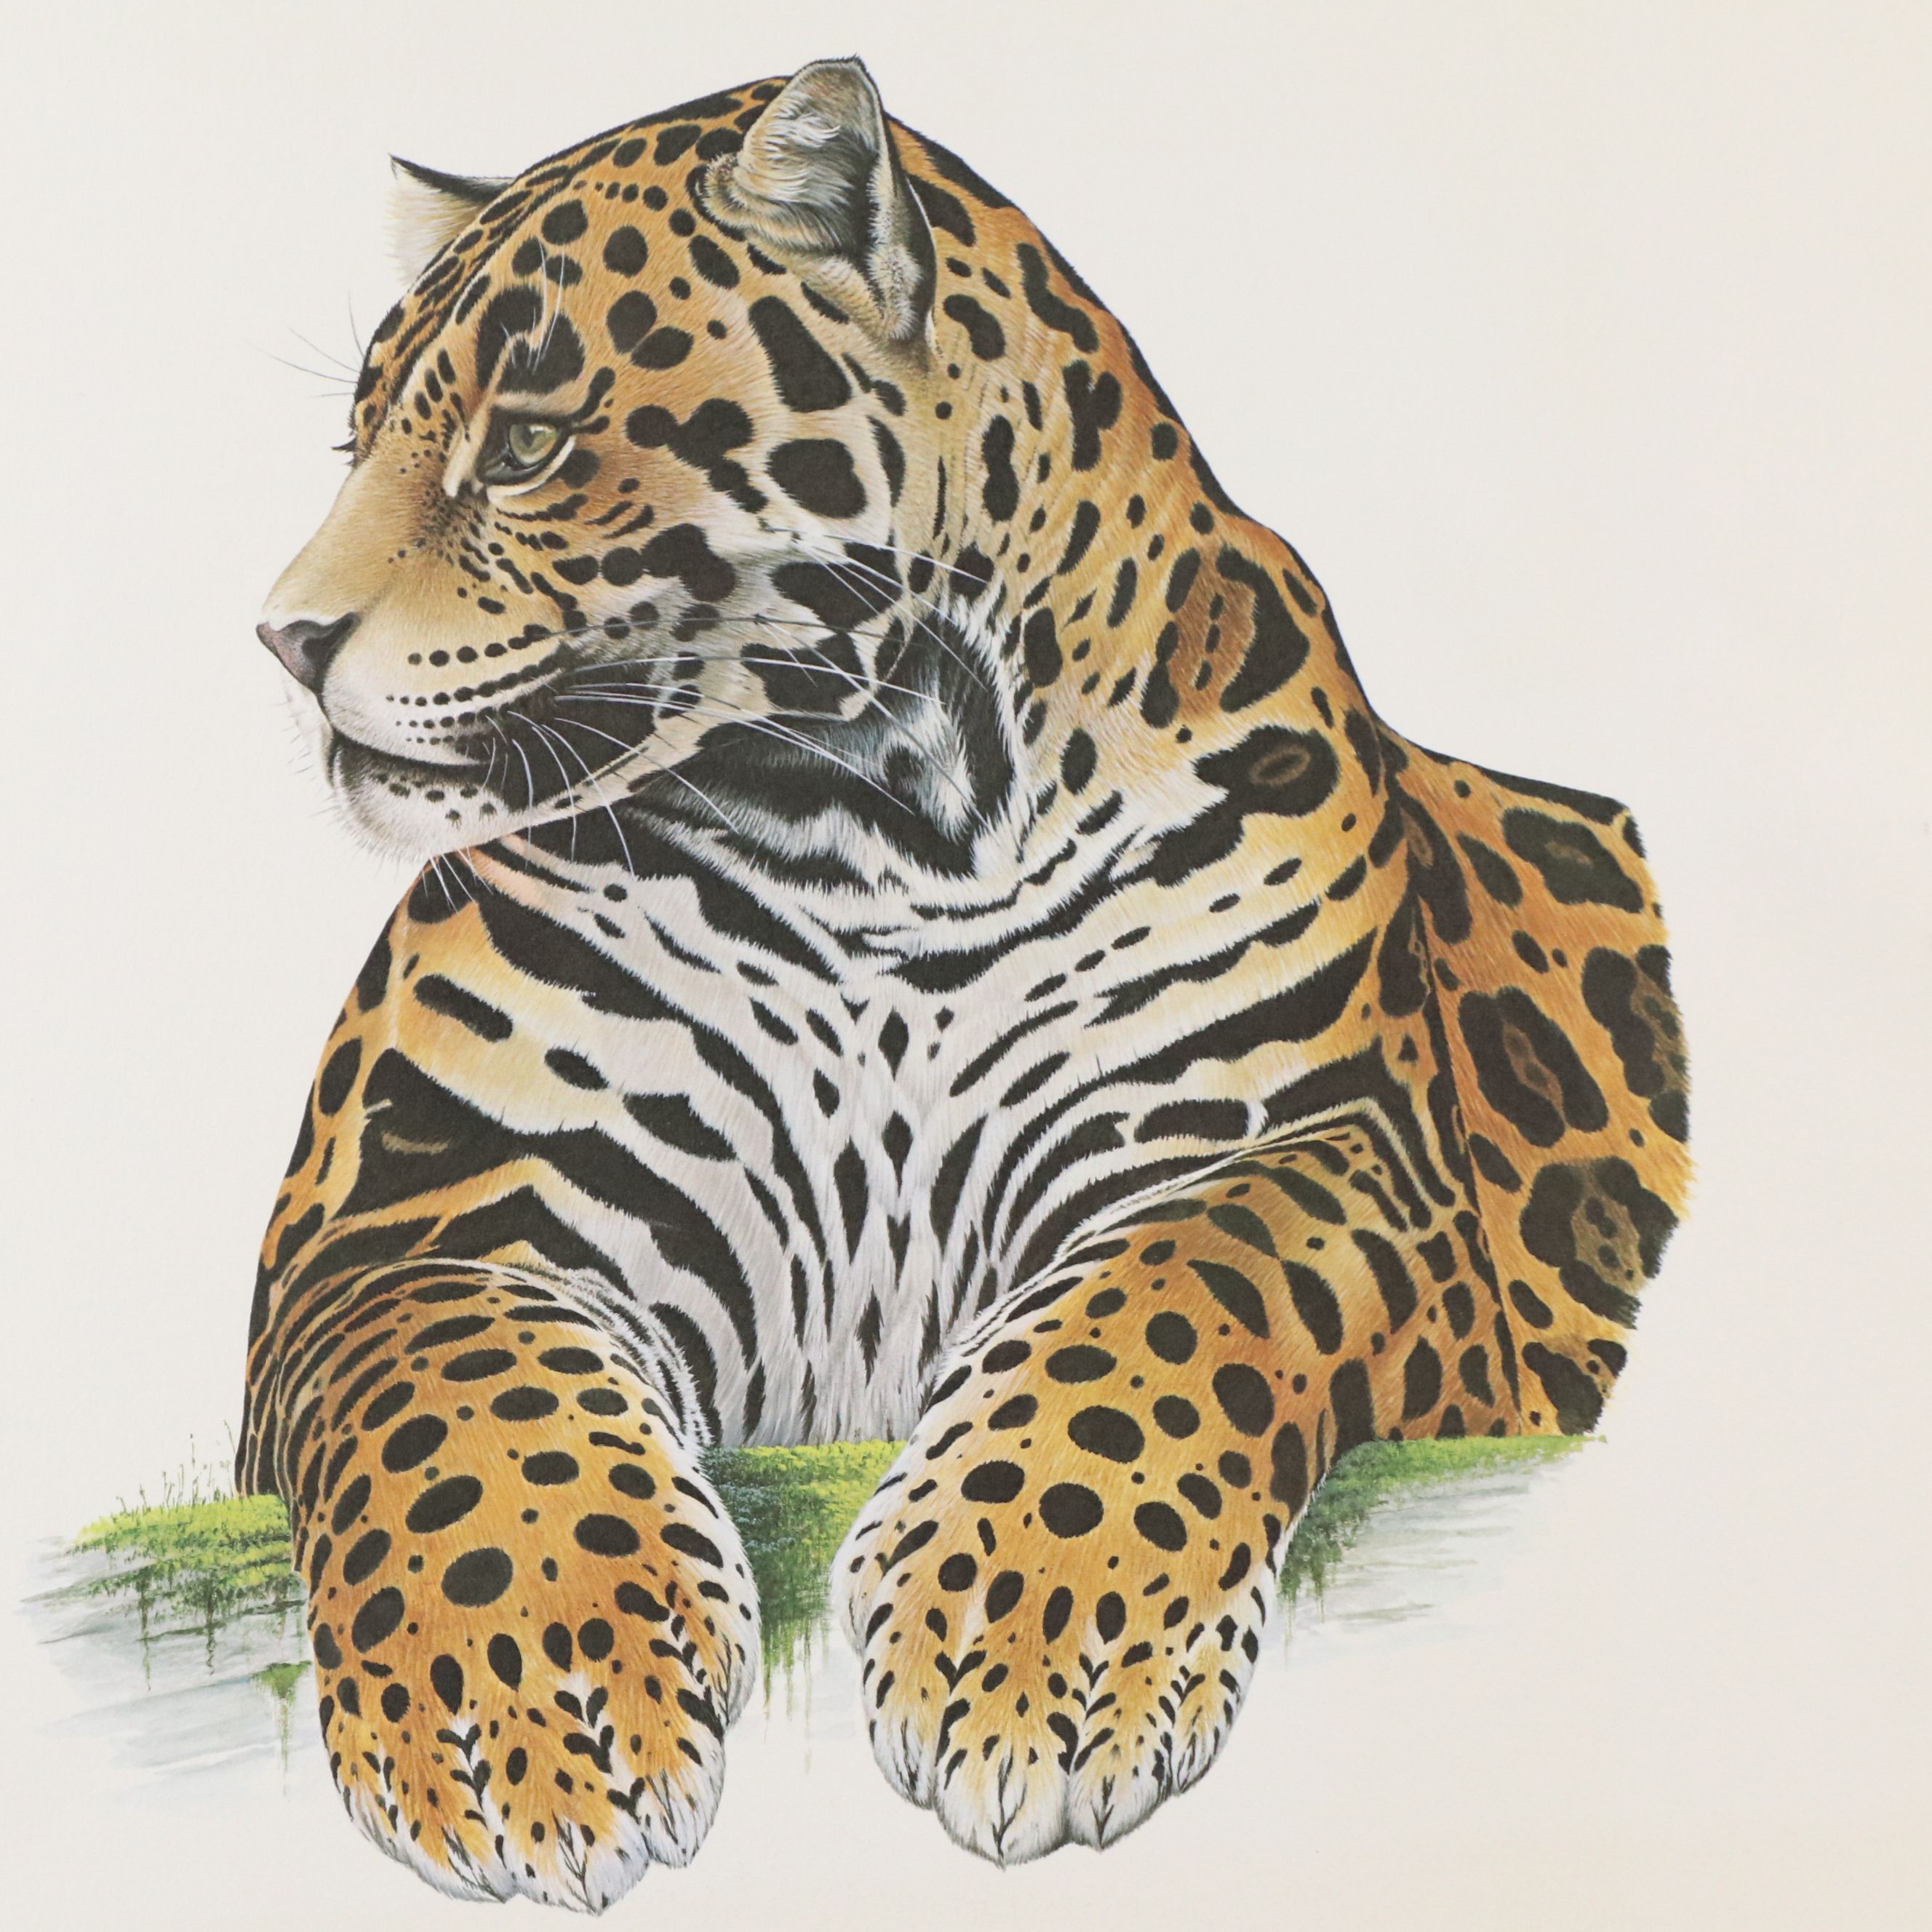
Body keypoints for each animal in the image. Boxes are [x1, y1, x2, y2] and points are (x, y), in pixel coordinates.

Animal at [244, 56, 1691, 1913]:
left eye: (528, 444)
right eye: (357, 445)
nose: (283, 638)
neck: (873, 827)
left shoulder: (1317, 1149)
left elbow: (1171, 1302)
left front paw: (1036, 1646)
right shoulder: (417, 1206)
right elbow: (460, 1416)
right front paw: (526, 1712)